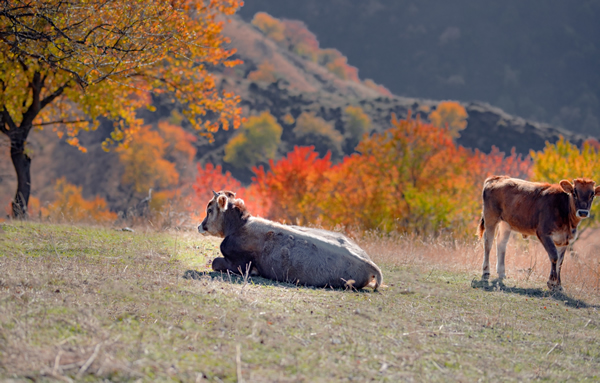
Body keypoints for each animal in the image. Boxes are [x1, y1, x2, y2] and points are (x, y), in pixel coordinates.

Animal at [198, 192, 384, 292]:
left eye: (209, 209)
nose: (200, 226)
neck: (240, 225)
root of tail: (368, 262)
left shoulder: (240, 264)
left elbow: (215, 262)